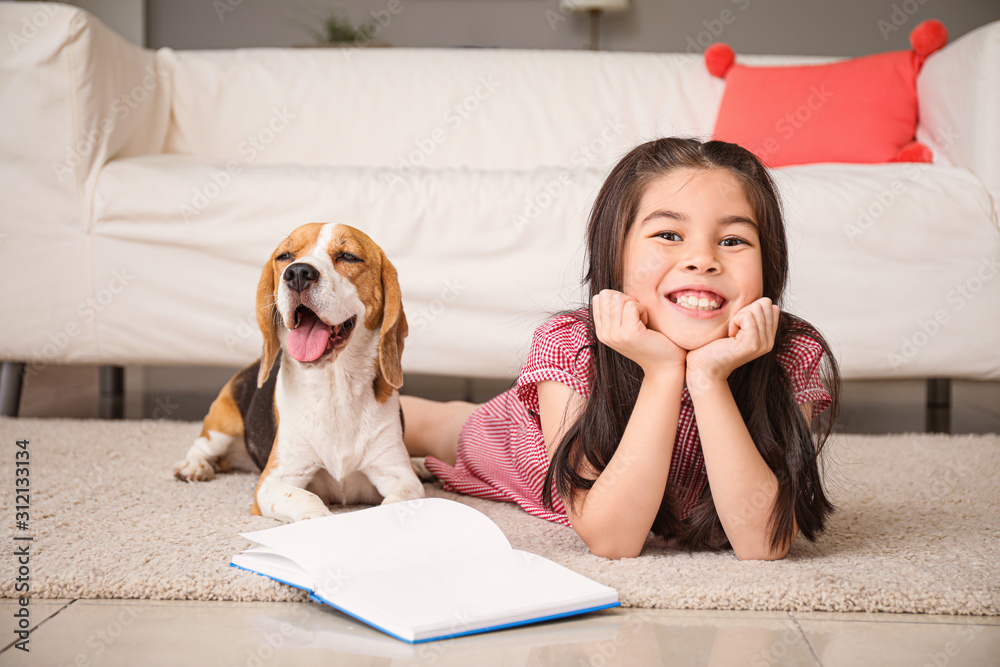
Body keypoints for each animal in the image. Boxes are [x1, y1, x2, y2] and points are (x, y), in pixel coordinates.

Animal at [174, 223, 424, 520]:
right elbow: (308, 500)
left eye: (349, 256)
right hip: (222, 423)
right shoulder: (274, 481)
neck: (335, 390)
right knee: (201, 447)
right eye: (285, 256)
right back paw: (194, 467)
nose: (297, 274)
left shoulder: (402, 478)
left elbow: (398, 500)